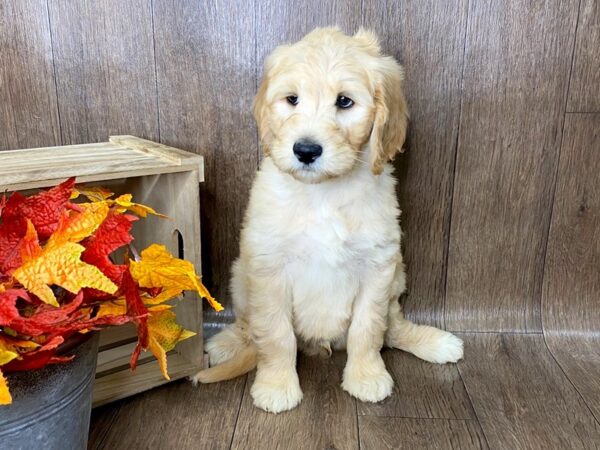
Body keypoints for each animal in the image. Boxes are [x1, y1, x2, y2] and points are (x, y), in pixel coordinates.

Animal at [193, 28, 464, 414]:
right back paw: (227, 342)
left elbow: (368, 329)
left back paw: (434, 342)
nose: (305, 150)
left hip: (398, 274)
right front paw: (276, 385)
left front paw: (366, 376)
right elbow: (275, 334)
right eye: (292, 99)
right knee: (249, 323)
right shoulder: (269, 267)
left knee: (393, 326)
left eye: (345, 102)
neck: (323, 193)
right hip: (241, 275)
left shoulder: (378, 265)